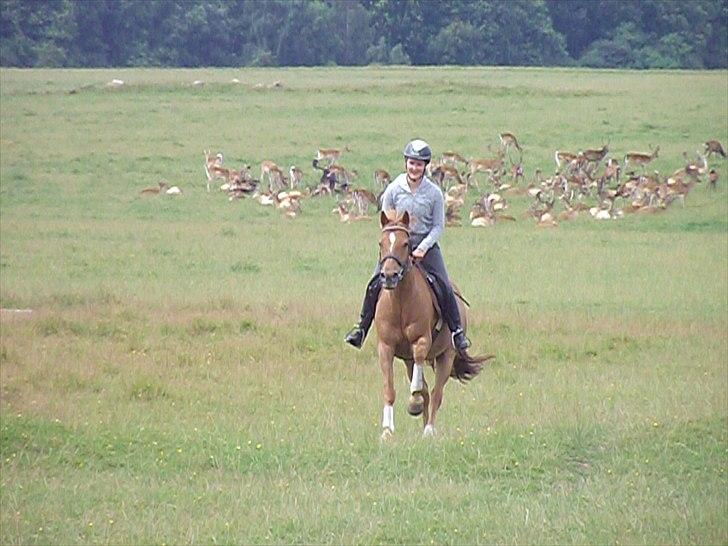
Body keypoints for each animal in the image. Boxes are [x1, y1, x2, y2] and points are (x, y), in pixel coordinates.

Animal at [376, 208, 490, 438]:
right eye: (381, 243)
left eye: (405, 243)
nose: (389, 276)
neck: (400, 303)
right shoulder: (385, 347)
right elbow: (389, 389)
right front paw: (387, 431)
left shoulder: (421, 341)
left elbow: (421, 383)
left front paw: (413, 402)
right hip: (408, 360)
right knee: (428, 391)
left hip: (446, 356)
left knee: (437, 393)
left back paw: (428, 430)